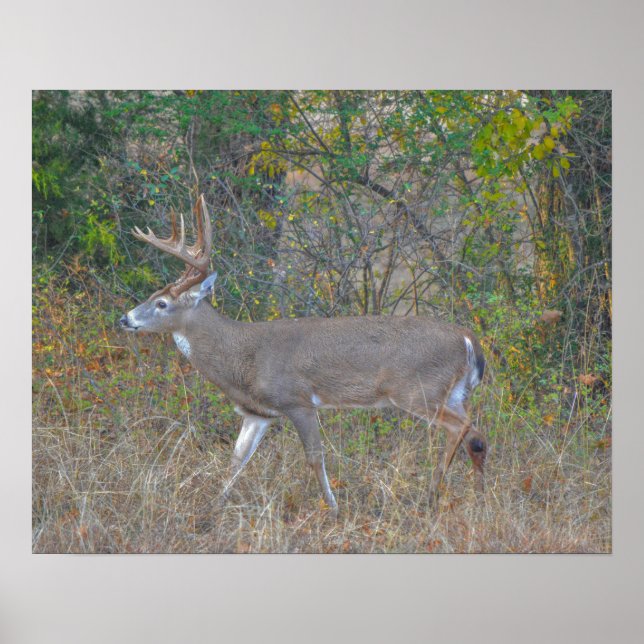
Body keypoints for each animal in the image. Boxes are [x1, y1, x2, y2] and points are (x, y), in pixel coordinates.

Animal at [120, 194, 487, 516]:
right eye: (151, 295)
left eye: (161, 303)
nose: (125, 318)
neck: (244, 358)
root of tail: (468, 339)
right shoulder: (258, 413)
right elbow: (237, 460)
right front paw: (212, 508)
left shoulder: (297, 400)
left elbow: (314, 457)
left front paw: (333, 508)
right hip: (452, 392)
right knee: (476, 436)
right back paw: (475, 495)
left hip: (416, 390)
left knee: (462, 427)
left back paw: (432, 494)